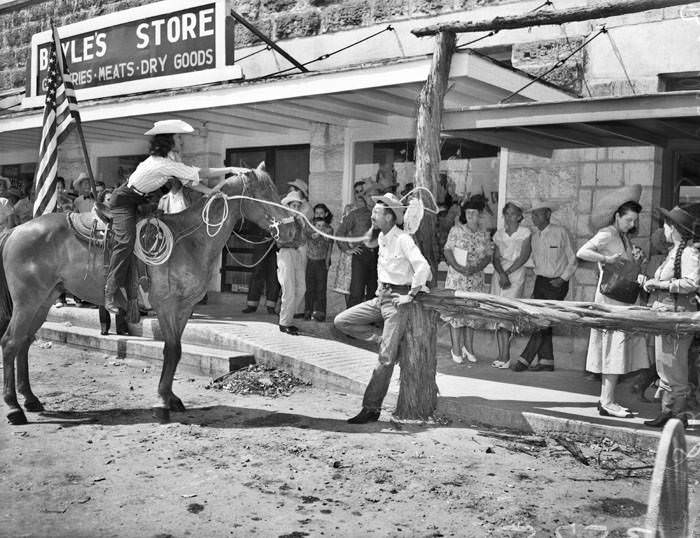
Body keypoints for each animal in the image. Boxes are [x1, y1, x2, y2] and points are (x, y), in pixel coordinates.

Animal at [1, 163, 294, 422]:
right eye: (264, 194)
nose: (293, 230)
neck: (190, 239)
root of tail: (15, 230)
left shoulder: (184, 308)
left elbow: (176, 351)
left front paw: (171, 398)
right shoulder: (166, 305)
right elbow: (172, 350)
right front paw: (162, 403)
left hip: (44, 301)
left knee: (24, 342)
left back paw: (31, 399)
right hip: (28, 302)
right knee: (10, 343)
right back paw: (14, 408)